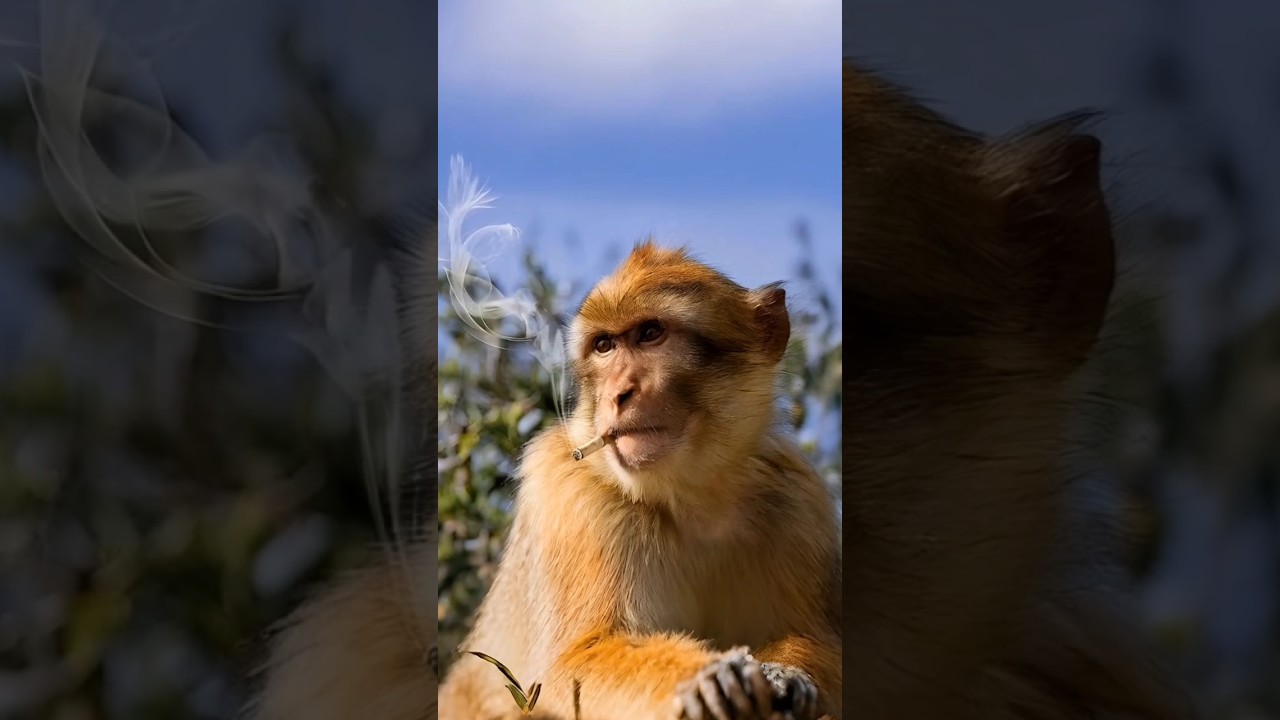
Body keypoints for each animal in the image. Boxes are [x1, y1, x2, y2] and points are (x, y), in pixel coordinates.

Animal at [437, 241, 843, 720]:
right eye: (605, 345)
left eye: (651, 333)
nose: (618, 394)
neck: (690, 499)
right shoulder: (570, 493)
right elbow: (575, 660)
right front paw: (707, 678)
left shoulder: (799, 500)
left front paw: (785, 677)